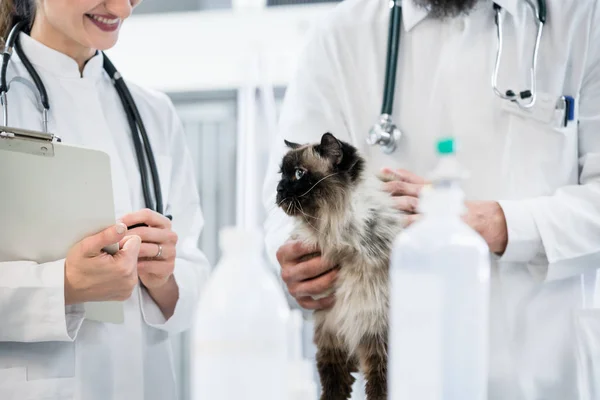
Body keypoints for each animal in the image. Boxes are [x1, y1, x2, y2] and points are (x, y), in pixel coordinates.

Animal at [276, 133, 406, 398]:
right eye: (281, 174)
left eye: (299, 174)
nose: (279, 189)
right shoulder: (332, 333)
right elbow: (333, 383)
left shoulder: (377, 334)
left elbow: (379, 387)